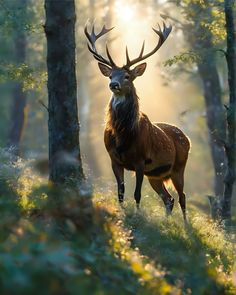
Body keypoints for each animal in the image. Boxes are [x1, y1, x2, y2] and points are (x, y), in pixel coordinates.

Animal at [84, 23, 191, 221]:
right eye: (110, 75)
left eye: (127, 76)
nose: (113, 85)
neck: (122, 136)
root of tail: (187, 138)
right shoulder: (114, 159)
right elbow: (120, 191)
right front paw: (121, 212)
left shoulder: (140, 160)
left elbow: (137, 194)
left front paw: (137, 215)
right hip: (155, 175)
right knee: (168, 198)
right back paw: (167, 222)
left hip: (179, 167)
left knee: (182, 197)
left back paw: (186, 225)